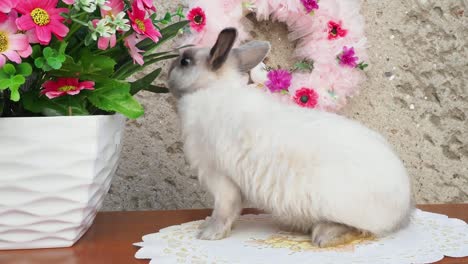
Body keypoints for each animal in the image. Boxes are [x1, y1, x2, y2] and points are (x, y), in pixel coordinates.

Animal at [168, 27, 414, 246]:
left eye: (185, 62)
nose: (168, 68)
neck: (211, 89)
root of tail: (403, 211)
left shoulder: (220, 179)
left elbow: (224, 209)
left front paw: (208, 234)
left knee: (361, 230)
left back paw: (324, 235)